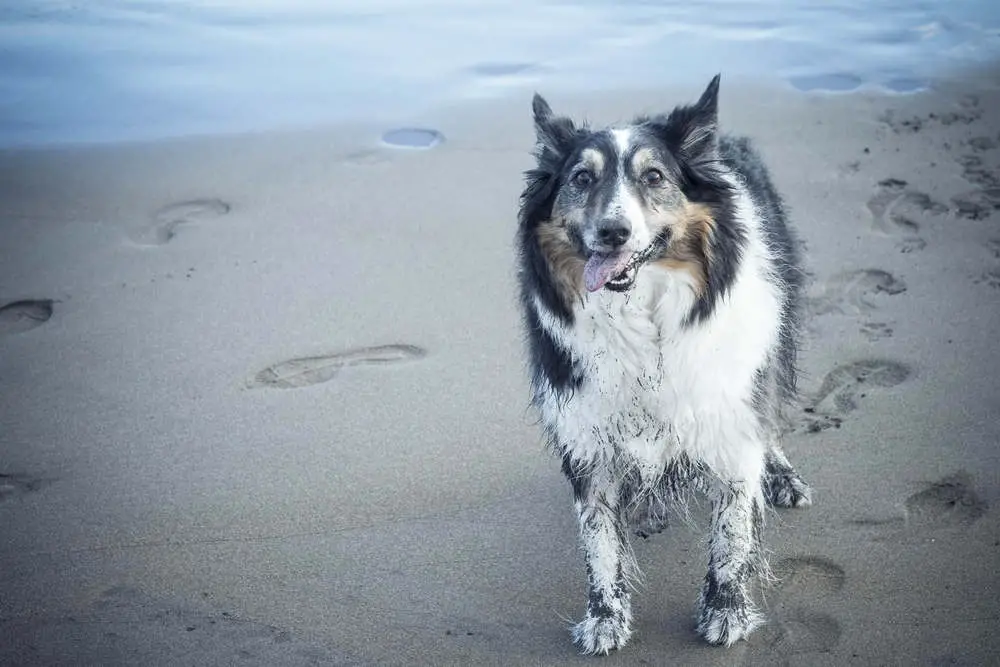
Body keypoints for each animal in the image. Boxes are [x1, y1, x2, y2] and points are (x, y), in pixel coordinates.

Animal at [516, 75, 812, 656]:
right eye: (581, 178)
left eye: (653, 177)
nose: (613, 232)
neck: (643, 316)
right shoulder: (586, 430)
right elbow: (598, 539)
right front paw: (604, 617)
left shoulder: (729, 415)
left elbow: (732, 530)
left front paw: (725, 610)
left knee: (770, 414)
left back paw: (781, 475)